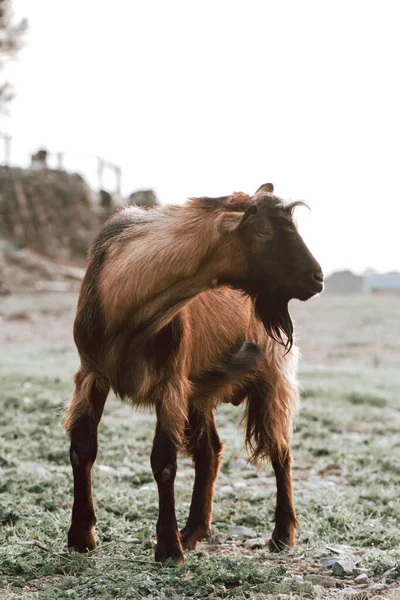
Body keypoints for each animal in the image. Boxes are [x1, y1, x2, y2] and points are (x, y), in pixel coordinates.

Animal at [65, 183, 322, 564]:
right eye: (262, 232)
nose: (316, 278)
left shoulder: (170, 383)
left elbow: (163, 462)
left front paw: (168, 549)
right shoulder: (91, 374)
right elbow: (83, 449)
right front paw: (80, 538)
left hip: (272, 377)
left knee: (281, 451)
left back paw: (281, 535)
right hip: (201, 390)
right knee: (210, 452)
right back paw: (193, 532)